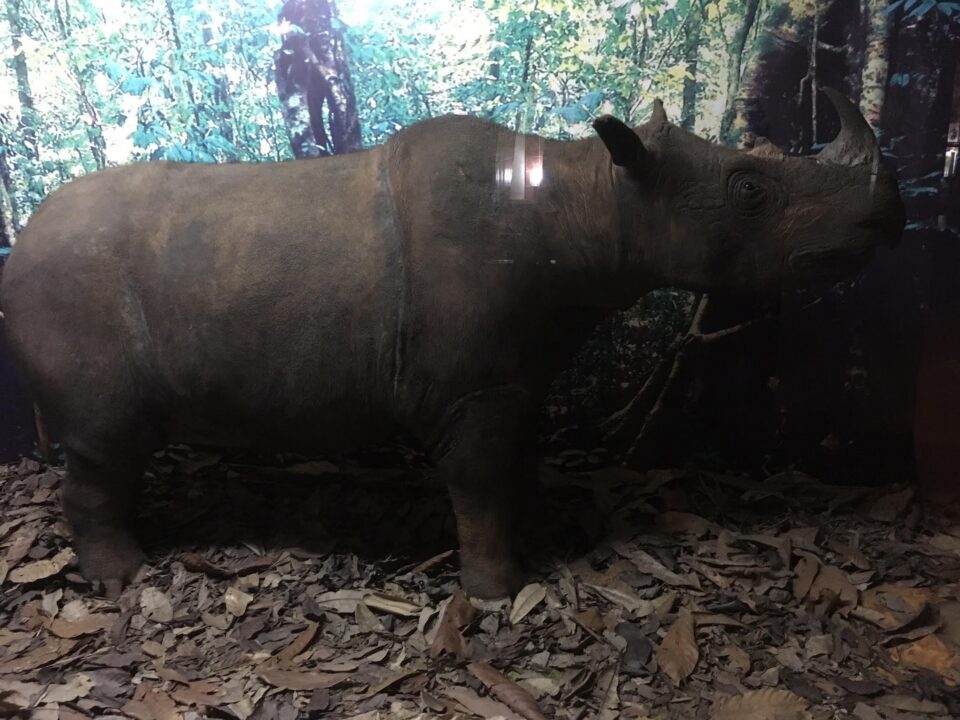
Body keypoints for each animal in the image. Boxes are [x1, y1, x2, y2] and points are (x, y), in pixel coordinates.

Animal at [0, 90, 904, 598]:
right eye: (749, 190)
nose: (887, 218)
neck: (594, 199)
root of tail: (19, 240)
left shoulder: (516, 372)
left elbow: (516, 466)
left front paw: (542, 533)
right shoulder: (472, 387)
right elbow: (478, 485)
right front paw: (500, 592)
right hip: (68, 289)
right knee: (106, 443)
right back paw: (123, 576)